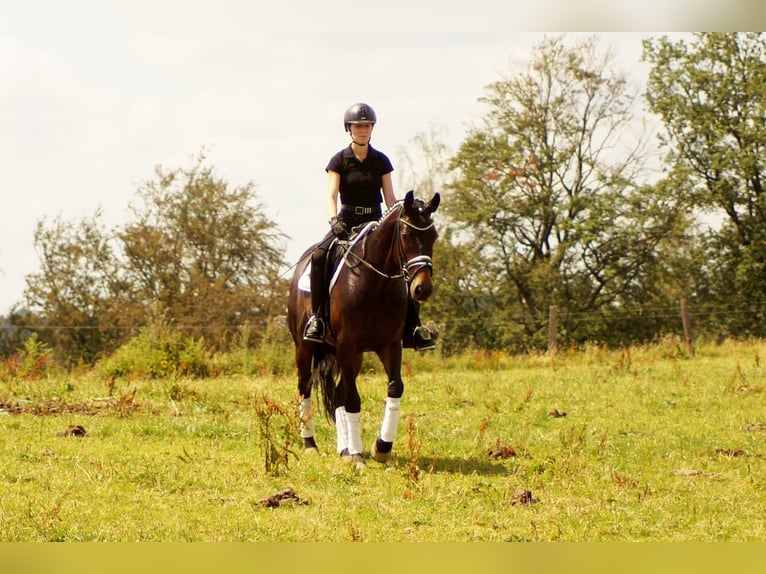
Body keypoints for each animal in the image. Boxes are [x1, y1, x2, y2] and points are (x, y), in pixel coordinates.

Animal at [286, 192, 444, 468]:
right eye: (405, 235)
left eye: (432, 236)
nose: (422, 289)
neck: (376, 284)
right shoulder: (348, 346)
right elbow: (353, 399)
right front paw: (359, 457)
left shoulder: (389, 346)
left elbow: (395, 388)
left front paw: (381, 447)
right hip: (305, 348)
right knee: (305, 387)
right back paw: (311, 444)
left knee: (337, 395)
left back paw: (344, 450)